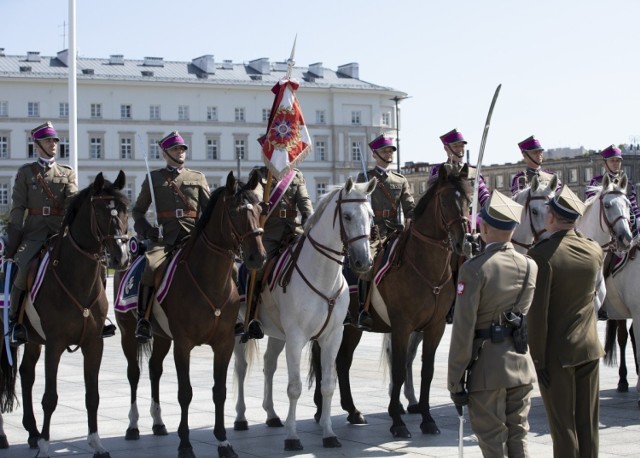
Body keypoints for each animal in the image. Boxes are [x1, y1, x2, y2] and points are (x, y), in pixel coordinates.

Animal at [0, 172, 130, 458]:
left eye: (126, 210)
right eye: (100, 211)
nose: (122, 256)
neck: (75, 276)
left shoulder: (94, 343)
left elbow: (93, 396)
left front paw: (96, 443)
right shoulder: (55, 344)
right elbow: (50, 397)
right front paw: (46, 446)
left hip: (33, 339)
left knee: (26, 373)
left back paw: (32, 432)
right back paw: (8, 435)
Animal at [115, 172, 264, 458]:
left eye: (260, 209)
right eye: (235, 211)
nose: (258, 257)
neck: (209, 279)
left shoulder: (224, 343)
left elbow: (220, 391)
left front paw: (224, 442)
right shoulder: (183, 344)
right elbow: (185, 392)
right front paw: (185, 445)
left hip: (162, 336)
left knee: (154, 370)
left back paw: (158, 423)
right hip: (128, 333)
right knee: (134, 373)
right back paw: (133, 425)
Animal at [234, 176, 376, 450]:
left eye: (371, 216)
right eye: (348, 216)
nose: (364, 262)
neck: (323, 274)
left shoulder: (332, 336)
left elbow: (328, 384)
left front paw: (329, 433)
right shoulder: (297, 338)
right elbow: (295, 387)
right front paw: (292, 437)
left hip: (277, 334)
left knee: (268, 365)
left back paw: (271, 414)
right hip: (238, 331)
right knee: (241, 367)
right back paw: (241, 417)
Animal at [312, 165, 472, 436]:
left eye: (469, 201)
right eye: (445, 201)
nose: (464, 243)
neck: (425, 268)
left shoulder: (435, 326)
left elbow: (427, 371)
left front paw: (427, 419)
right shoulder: (401, 326)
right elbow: (398, 370)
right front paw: (397, 421)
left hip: (352, 327)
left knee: (343, 363)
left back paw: (352, 410)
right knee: (321, 358)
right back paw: (319, 408)